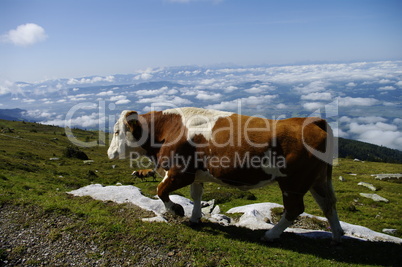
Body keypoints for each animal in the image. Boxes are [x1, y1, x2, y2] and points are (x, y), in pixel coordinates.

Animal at [108, 108, 344, 244]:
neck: (169, 129)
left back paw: (271, 235)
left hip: (293, 182)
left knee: (295, 209)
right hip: (318, 179)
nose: (110, 153)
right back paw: (338, 236)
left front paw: (177, 210)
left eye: (117, 132)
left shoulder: (179, 172)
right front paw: (195, 218)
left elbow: (161, 190)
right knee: (328, 204)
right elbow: (196, 196)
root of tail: (312, 121)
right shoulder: (196, 174)